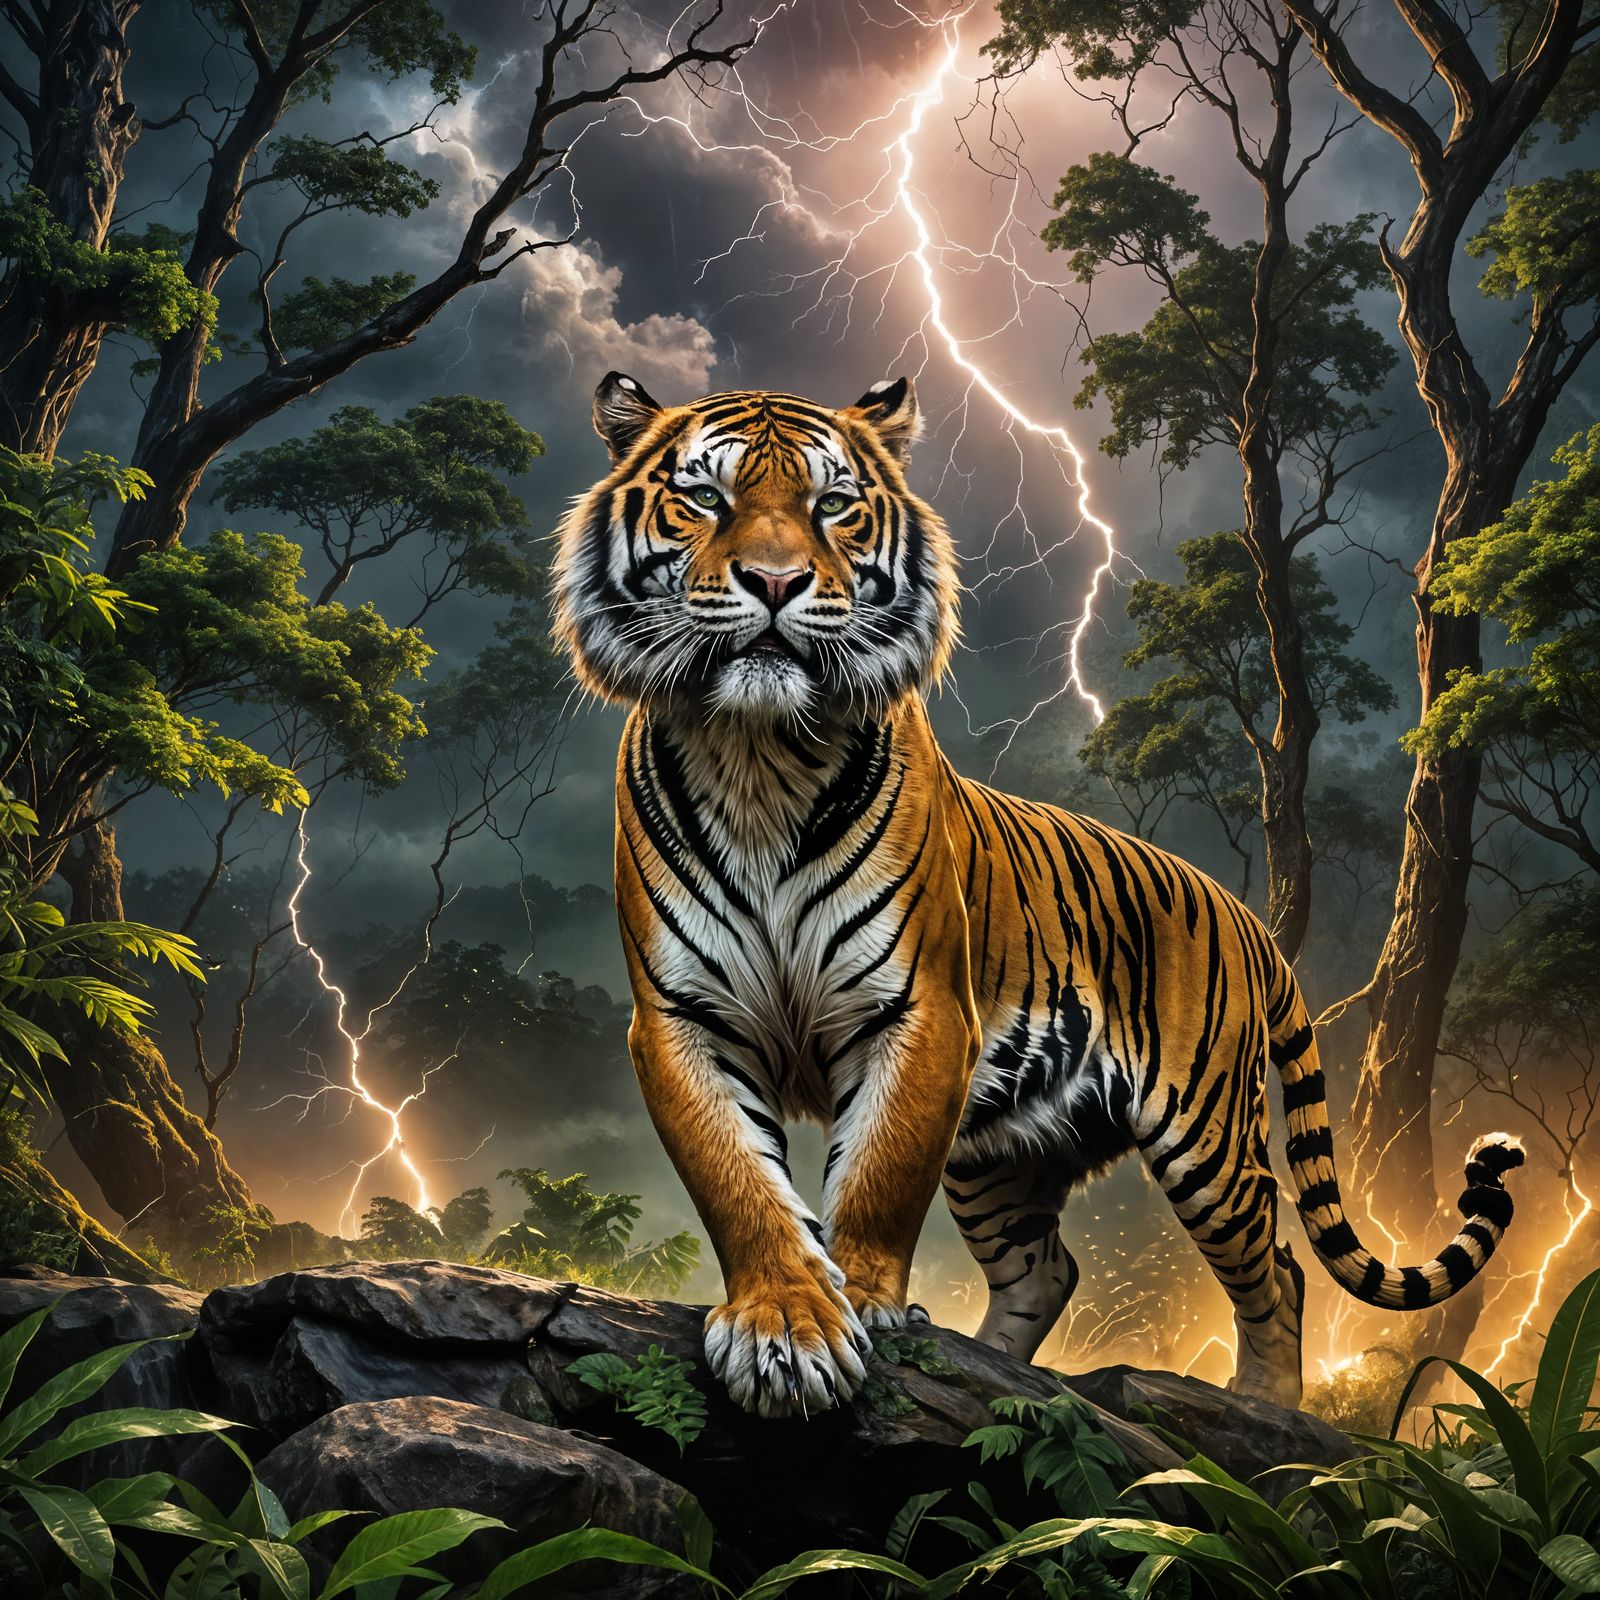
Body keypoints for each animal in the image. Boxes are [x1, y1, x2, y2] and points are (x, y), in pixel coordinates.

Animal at [552, 370, 1522, 1418]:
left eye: (833, 505)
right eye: (703, 498)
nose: (775, 583)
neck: (760, 754)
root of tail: (1245, 915)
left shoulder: (920, 1011)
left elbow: (877, 1176)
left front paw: (865, 1304)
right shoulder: (684, 1016)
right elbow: (740, 1180)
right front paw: (789, 1329)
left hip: (1205, 1136)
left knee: (1278, 1269)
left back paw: (1263, 1406)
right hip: (1000, 1152)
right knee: (1046, 1269)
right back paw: (997, 1370)